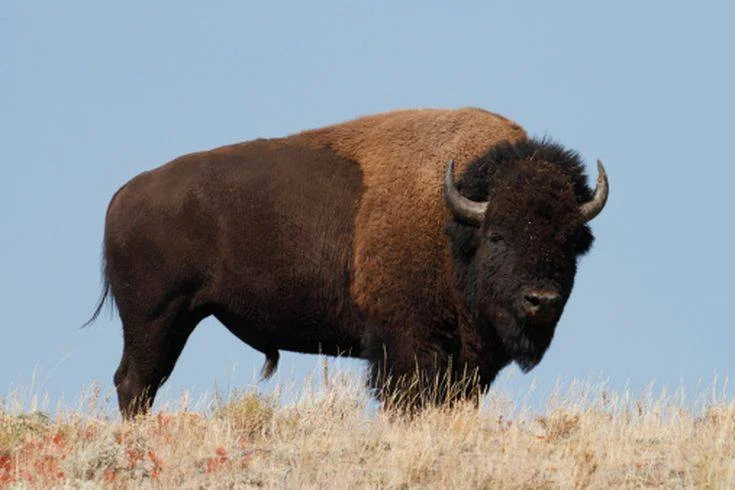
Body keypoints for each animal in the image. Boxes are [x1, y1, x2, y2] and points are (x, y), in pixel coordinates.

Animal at [87, 108, 608, 417]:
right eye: (498, 235)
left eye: (570, 240)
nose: (541, 300)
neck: (453, 221)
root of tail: (125, 194)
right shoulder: (406, 348)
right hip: (155, 318)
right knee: (135, 381)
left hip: (177, 319)